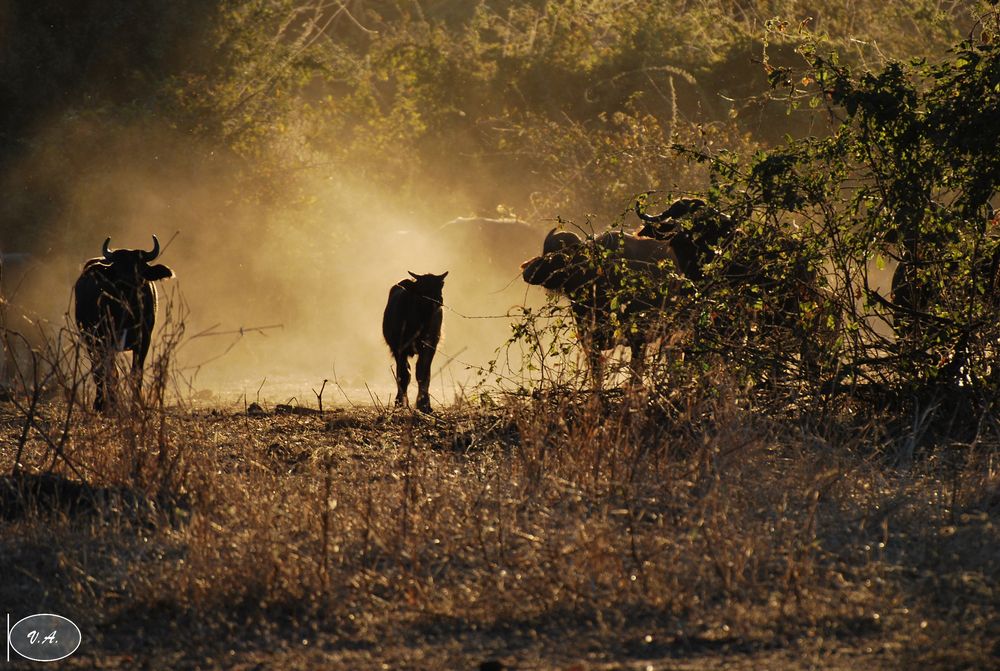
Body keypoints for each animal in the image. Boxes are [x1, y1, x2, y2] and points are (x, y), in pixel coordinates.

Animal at [74, 239, 174, 412]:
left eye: (138, 267)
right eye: (117, 267)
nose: (125, 281)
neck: (126, 311)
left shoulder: (143, 341)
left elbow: (136, 373)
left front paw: (137, 404)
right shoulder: (106, 341)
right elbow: (111, 374)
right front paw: (113, 405)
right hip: (91, 342)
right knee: (99, 372)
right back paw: (100, 404)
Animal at [380, 270, 448, 412]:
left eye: (441, 284)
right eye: (422, 287)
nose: (438, 300)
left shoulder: (430, 346)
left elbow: (423, 373)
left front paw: (424, 404)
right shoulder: (399, 348)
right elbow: (404, 374)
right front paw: (400, 402)